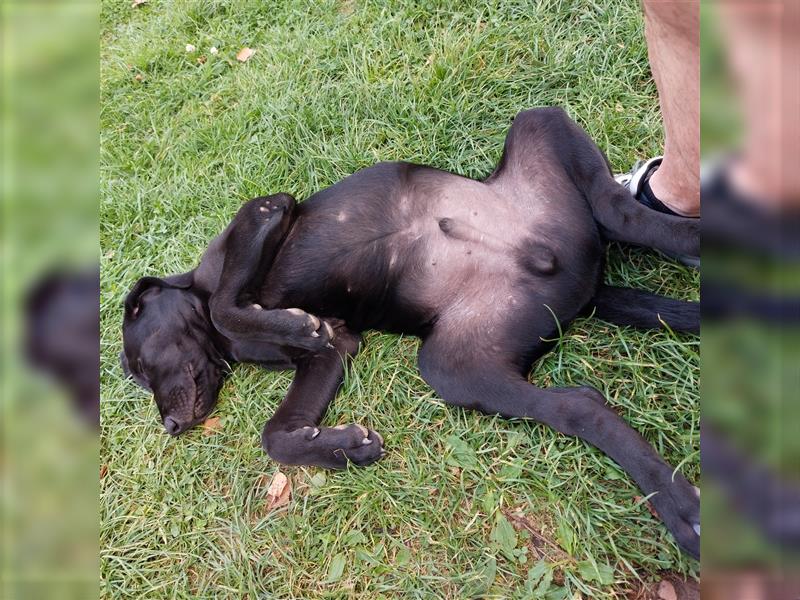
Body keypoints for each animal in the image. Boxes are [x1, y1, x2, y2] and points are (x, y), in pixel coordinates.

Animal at [120, 106, 700, 556]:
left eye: (140, 367)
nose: (170, 426)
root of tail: (576, 273)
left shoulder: (266, 211)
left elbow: (224, 304)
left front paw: (282, 322)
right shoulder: (333, 350)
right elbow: (277, 434)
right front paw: (340, 447)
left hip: (538, 123)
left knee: (617, 211)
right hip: (455, 366)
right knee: (579, 400)